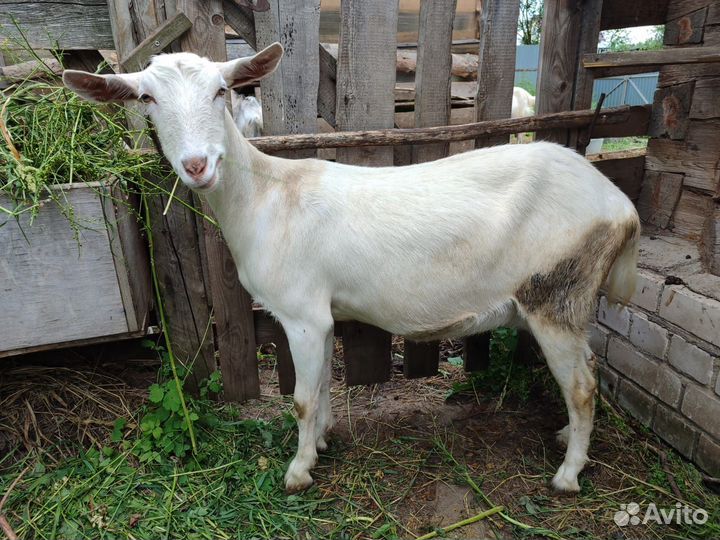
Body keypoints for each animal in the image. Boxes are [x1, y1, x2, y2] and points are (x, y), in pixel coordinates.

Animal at [63, 43, 640, 494]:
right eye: (146, 98)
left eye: (220, 90)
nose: (197, 165)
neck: (267, 197)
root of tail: (621, 206)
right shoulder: (322, 316)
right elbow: (319, 390)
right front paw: (320, 442)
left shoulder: (301, 314)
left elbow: (299, 399)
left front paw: (297, 471)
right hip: (570, 301)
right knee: (588, 375)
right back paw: (567, 439)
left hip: (555, 295)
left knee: (582, 387)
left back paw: (568, 475)